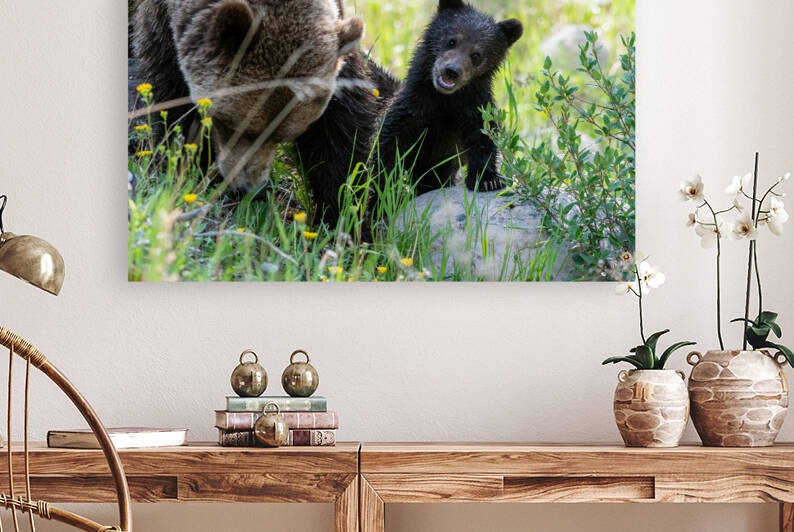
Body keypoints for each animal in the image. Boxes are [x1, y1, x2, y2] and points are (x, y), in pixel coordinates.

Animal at [131, 0, 365, 192]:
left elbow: (343, 128)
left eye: (283, 136)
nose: (250, 188)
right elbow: (172, 103)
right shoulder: (161, 27)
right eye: (231, 127)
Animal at [376, 0, 523, 195]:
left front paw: (487, 179)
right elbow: (389, 141)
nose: (452, 70)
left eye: (476, 55)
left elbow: (483, 137)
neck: (445, 100)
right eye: (452, 41)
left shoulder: (473, 106)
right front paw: (383, 181)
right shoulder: (412, 106)